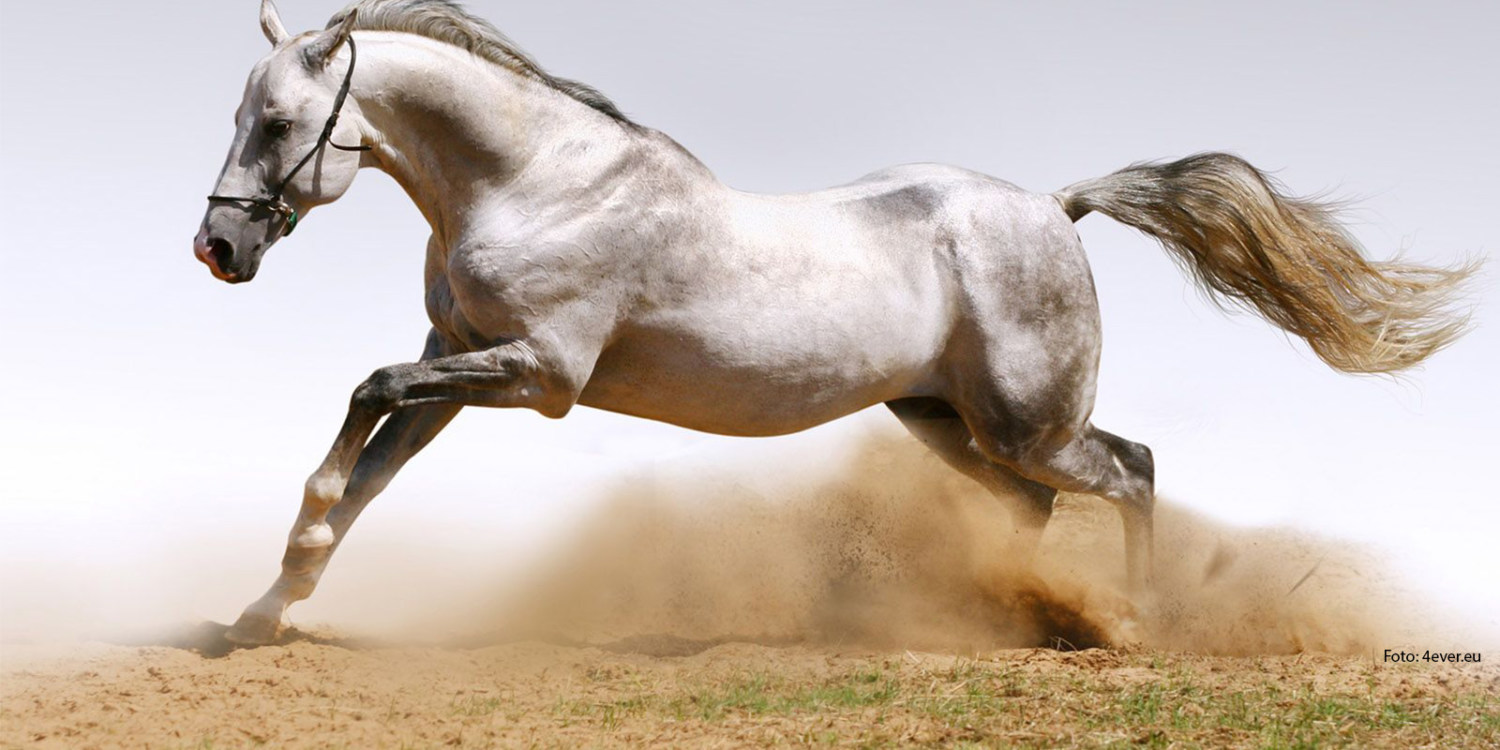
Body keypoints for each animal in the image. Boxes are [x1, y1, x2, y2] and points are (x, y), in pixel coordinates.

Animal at [193, 0, 1470, 645]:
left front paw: (282, 571)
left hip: (1029, 421)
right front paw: (264, 611)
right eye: (245, 115)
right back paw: (1008, 617)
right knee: (1039, 506)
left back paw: (1133, 624)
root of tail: (1054, 208)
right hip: (942, 420)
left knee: (1135, 469)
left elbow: (361, 401)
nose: (217, 250)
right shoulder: (458, 359)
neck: (536, 181)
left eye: (281, 122)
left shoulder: (537, 374)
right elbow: (370, 470)